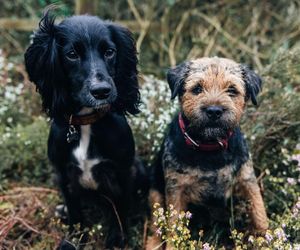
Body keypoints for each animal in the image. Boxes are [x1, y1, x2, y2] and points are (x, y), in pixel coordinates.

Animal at [24, 10, 139, 248]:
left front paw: (118, 238)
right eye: (71, 54)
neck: (86, 122)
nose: (102, 91)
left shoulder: (123, 170)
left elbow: (120, 210)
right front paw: (74, 240)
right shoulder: (63, 175)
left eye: (110, 52)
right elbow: (76, 215)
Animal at [146, 57, 268, 250]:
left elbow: (259, 210)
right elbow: (174, 225)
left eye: (232, 90)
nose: (214, 111)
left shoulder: (247, 179)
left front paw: (266, 238)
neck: (210, 147)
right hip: (155, 193)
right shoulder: (176, 189)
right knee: (155, 222)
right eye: (197, 88)